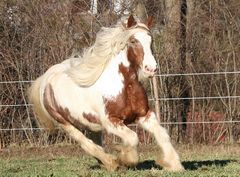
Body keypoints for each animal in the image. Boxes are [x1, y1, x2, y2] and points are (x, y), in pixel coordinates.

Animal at [28, 15, 184, 171]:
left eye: (151, 40)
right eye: (133, 41)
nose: (150, 69)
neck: (125, 86)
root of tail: (46, 78)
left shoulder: (145, 115)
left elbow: (162, 134)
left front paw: (173, 165)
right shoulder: (111, 121)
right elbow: (133, 138)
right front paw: (125, 158)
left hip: (91, 124)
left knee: (95, 143)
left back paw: (106, 162)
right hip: (64, 123)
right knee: (85, 143)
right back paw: (112, 162)